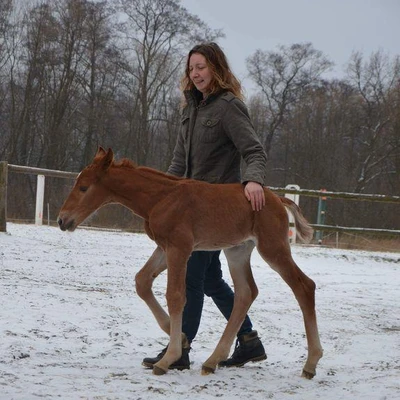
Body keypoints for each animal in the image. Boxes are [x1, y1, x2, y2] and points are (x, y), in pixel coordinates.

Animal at [57, 148, 324, 378]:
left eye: (83, 187)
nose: (62, 220)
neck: (161, 198)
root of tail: (278, 199)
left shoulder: (180, 248)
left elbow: (176, 296)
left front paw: (169, 358)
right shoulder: (165, 248)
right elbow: (142, 281)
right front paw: (180, 338)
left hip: (272, 248)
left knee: (304, 286)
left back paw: (310, 364)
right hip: (237, 251)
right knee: (246, 292)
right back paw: (213, 361)